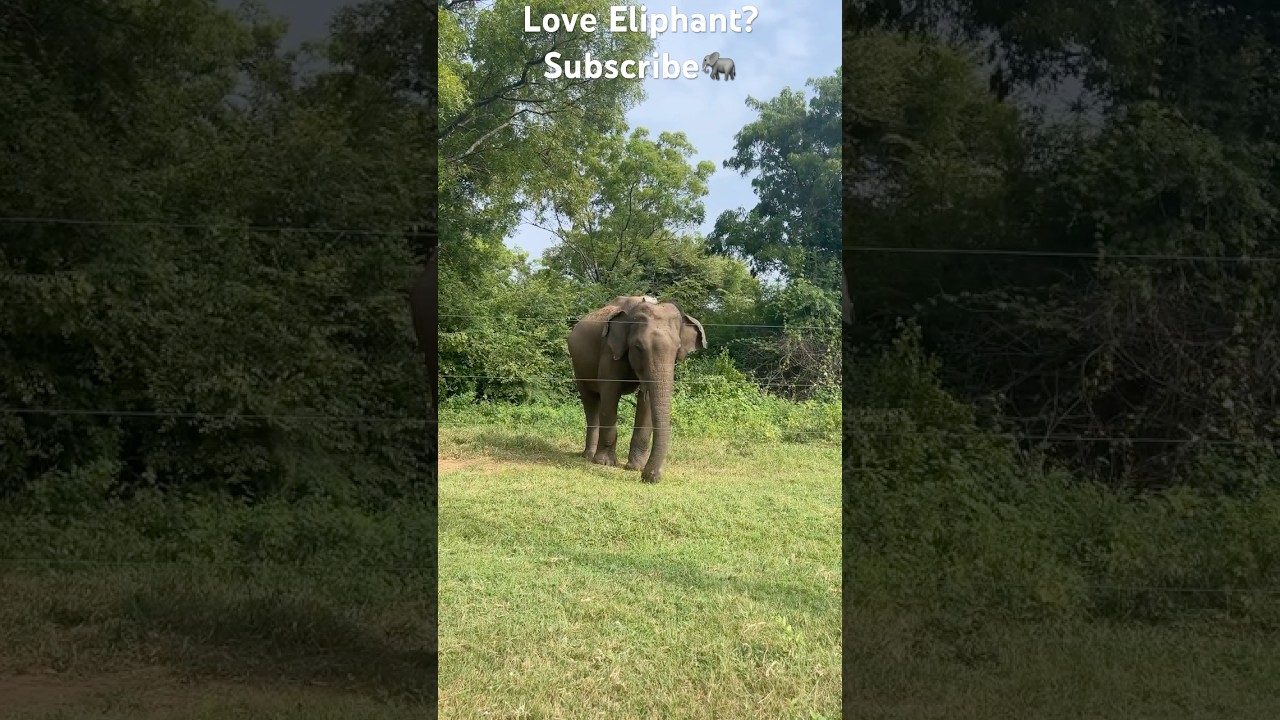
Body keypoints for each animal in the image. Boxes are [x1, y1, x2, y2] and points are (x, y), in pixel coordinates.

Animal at [567, 296, 706, 483]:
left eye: (677, 349)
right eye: (638, 347)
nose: (651, 476)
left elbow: (645, 402)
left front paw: (635, 468)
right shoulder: (609, 352)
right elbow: (610, 395)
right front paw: (605, 463)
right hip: (578, 367)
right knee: (591, 402)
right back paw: (589, 456)